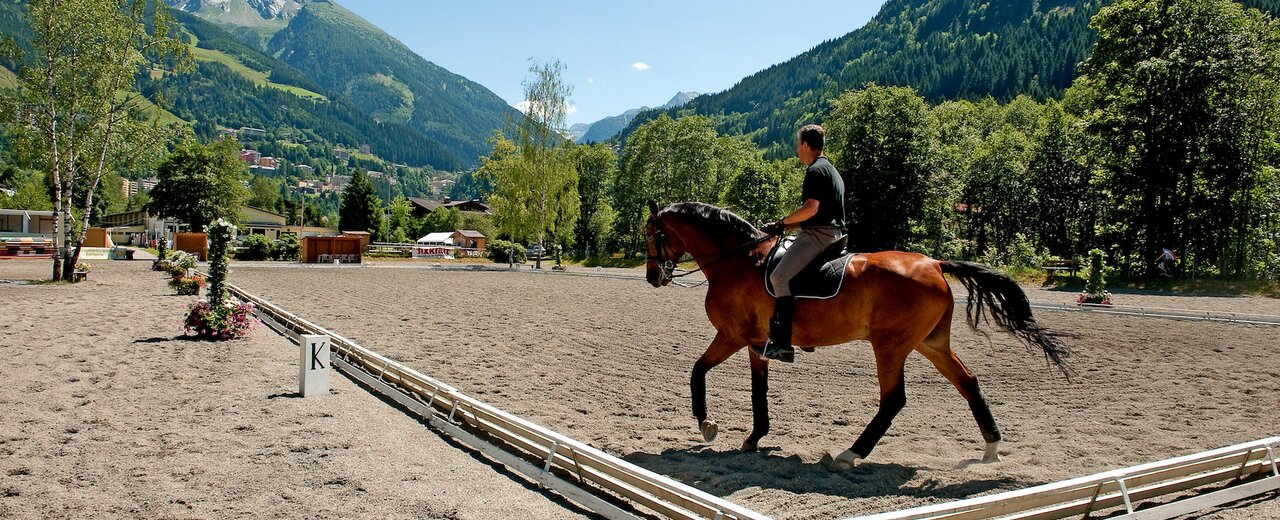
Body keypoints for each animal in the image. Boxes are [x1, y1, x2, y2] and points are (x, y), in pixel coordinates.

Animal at [640, 201, 1070, 468]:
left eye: (650, 234)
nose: (653, 277)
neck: (739, 260)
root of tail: (934, 263)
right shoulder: (754, 344)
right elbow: (758, 390)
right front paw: (754, 437)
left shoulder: (731, 336)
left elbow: (697, 371)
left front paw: (706, 425)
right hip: (930, 344)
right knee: (969, 383)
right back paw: (991, 447)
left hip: (891, 346)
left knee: (894, 399)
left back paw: (850, 454)